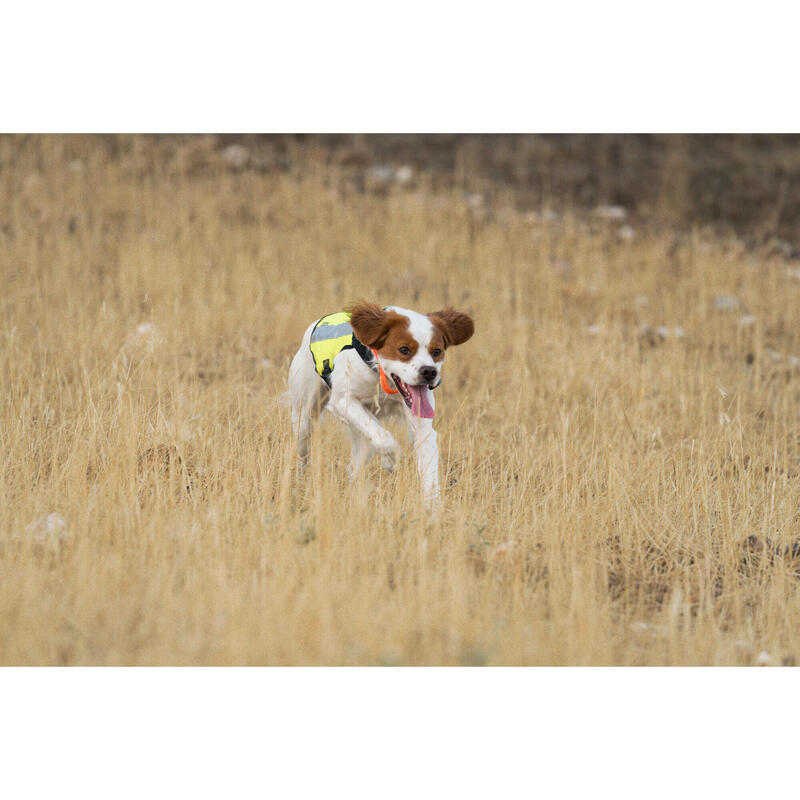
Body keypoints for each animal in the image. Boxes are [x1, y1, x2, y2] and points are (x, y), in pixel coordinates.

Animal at [290, 300, 472, 506]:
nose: (429, 372)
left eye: (437, 351)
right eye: (404, 349)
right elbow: (385, 439)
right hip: (304, 417)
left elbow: (428, 473)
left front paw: (432, 509)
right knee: (304, 453)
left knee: (355, 464)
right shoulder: (343, 401)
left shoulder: (422, 426)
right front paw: (390, 461)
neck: (381, 376)